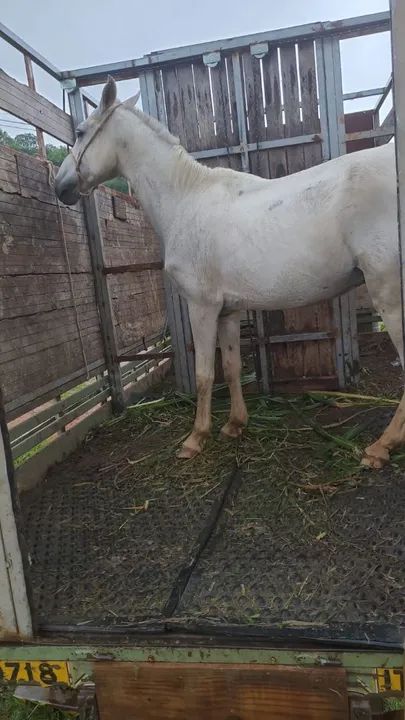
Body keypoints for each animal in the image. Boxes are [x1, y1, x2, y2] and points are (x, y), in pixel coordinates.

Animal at [55, 76, 404, 469]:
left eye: (80, 132)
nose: (60, 186)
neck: (186, 199)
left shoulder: (202, 306)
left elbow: (206, 372)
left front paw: (195, 438)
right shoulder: (229, 310)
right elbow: (234, 366)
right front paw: (235, 424)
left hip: (390, 295)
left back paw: (381, 446)